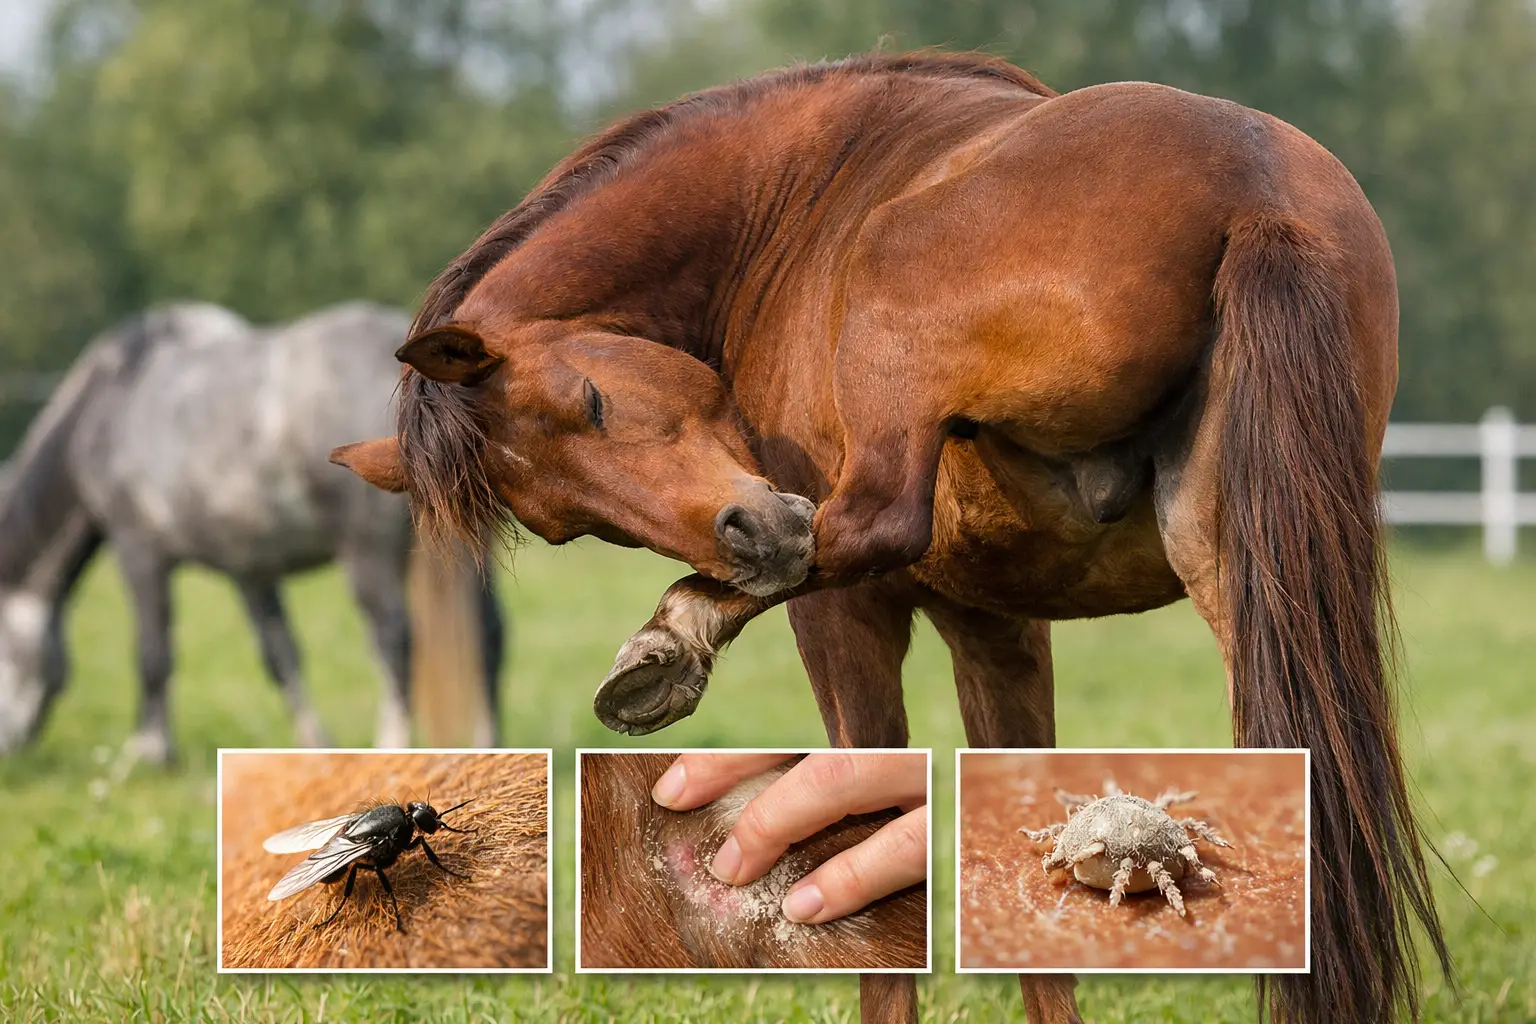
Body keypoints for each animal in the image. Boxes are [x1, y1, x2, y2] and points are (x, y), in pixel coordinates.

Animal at [0, 301, 505, 762]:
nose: (9, 749)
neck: (113, 402)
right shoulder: (250, 570)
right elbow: (281, 656)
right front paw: (314, 745)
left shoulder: (139, 552)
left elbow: (152, 651)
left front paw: (150, 751)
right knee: (489, 638)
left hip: (369, 556)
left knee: (396, 643)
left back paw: (392, 746)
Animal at [333, 53, 1450, 1024]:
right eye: (565, 525)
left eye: (594, 400)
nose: (752, 536)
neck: (782, 205)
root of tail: (1254, 185)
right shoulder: (998, 626)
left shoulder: (850, 621)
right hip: (1242, 582)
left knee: (874, 522)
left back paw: (675, 638)